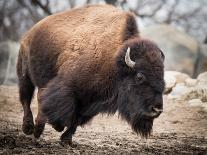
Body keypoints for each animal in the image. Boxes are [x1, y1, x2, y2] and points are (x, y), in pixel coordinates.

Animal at [16, 4, 165, 145]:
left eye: (162, 77)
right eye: (139, 76)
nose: (156, 110)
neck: (113, 59)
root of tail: (30, 32)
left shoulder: (91, 103)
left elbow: (76, 120)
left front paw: (66, 140)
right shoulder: (68, 88)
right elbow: (62, 109)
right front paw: (58, 127)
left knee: (39, 96)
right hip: (24, 75)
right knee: (26, 99)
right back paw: (29, 128)